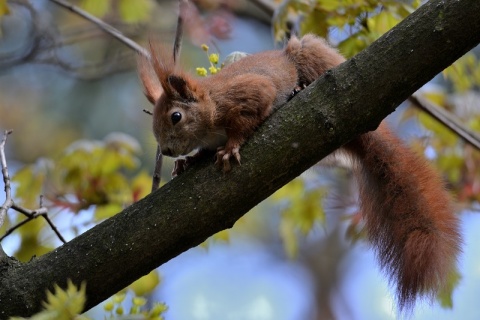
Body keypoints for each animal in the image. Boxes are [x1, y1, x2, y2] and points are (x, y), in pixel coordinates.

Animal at [138, 34, 462, 310]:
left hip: (310, 55)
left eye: (176, 117)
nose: (167, 150)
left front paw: (230, 147)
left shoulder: (248, 93)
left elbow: (248, 116)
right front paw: (188, 162)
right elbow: (203, 152)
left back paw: (299, 89)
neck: (209, 108)